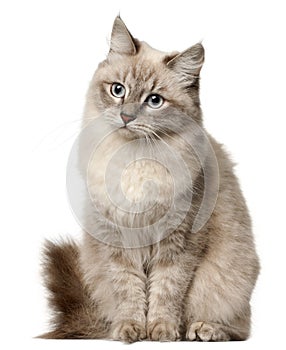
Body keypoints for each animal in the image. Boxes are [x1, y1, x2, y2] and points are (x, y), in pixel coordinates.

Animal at [41, 16, 260, 342]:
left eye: (154, 101)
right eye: (118, 90)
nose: (126, 117)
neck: (135, 160)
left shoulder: (179, 241)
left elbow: (166, 291)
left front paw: (162, 330)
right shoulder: (117, 240)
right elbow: (129, 290)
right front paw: (131, 329)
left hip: (229, 278)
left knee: (239, 327)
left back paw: (203, 330)